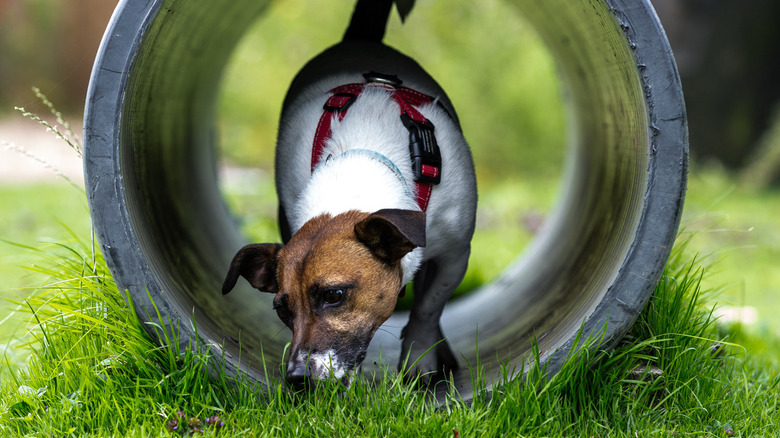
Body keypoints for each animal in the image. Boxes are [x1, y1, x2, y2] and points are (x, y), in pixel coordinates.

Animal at [219, 0, 476, 388]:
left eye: (334, 295)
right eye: (282, 309)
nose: (297, 379)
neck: (362, 158)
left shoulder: (455, 255)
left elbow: (428, 308)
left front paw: (419, 360)